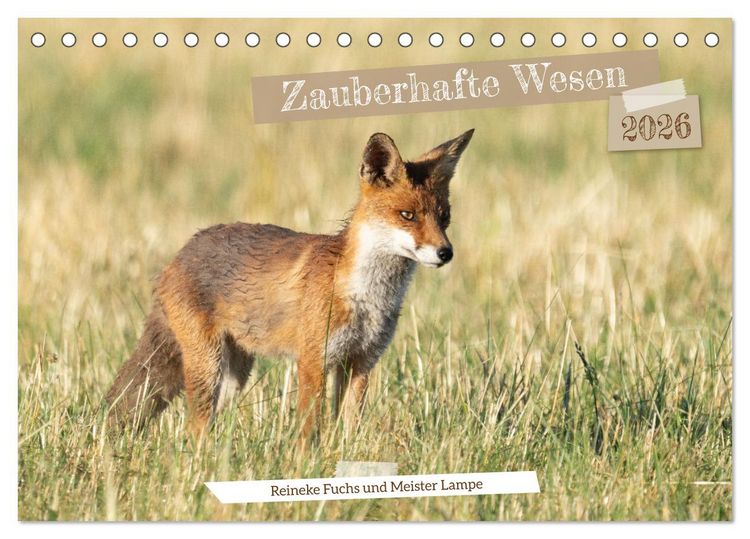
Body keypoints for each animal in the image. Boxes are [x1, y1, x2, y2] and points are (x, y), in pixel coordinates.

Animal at [105, 129, 474, 441]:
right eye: (407, 215)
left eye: (444, 217)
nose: (446, 252)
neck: (366, 297)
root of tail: (177, 257)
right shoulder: (312, 360)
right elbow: (309, 429)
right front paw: (305, 465)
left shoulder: (360, 362)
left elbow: (349, 429)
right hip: (207, 366)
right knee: (193, 429)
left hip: (234, 376)